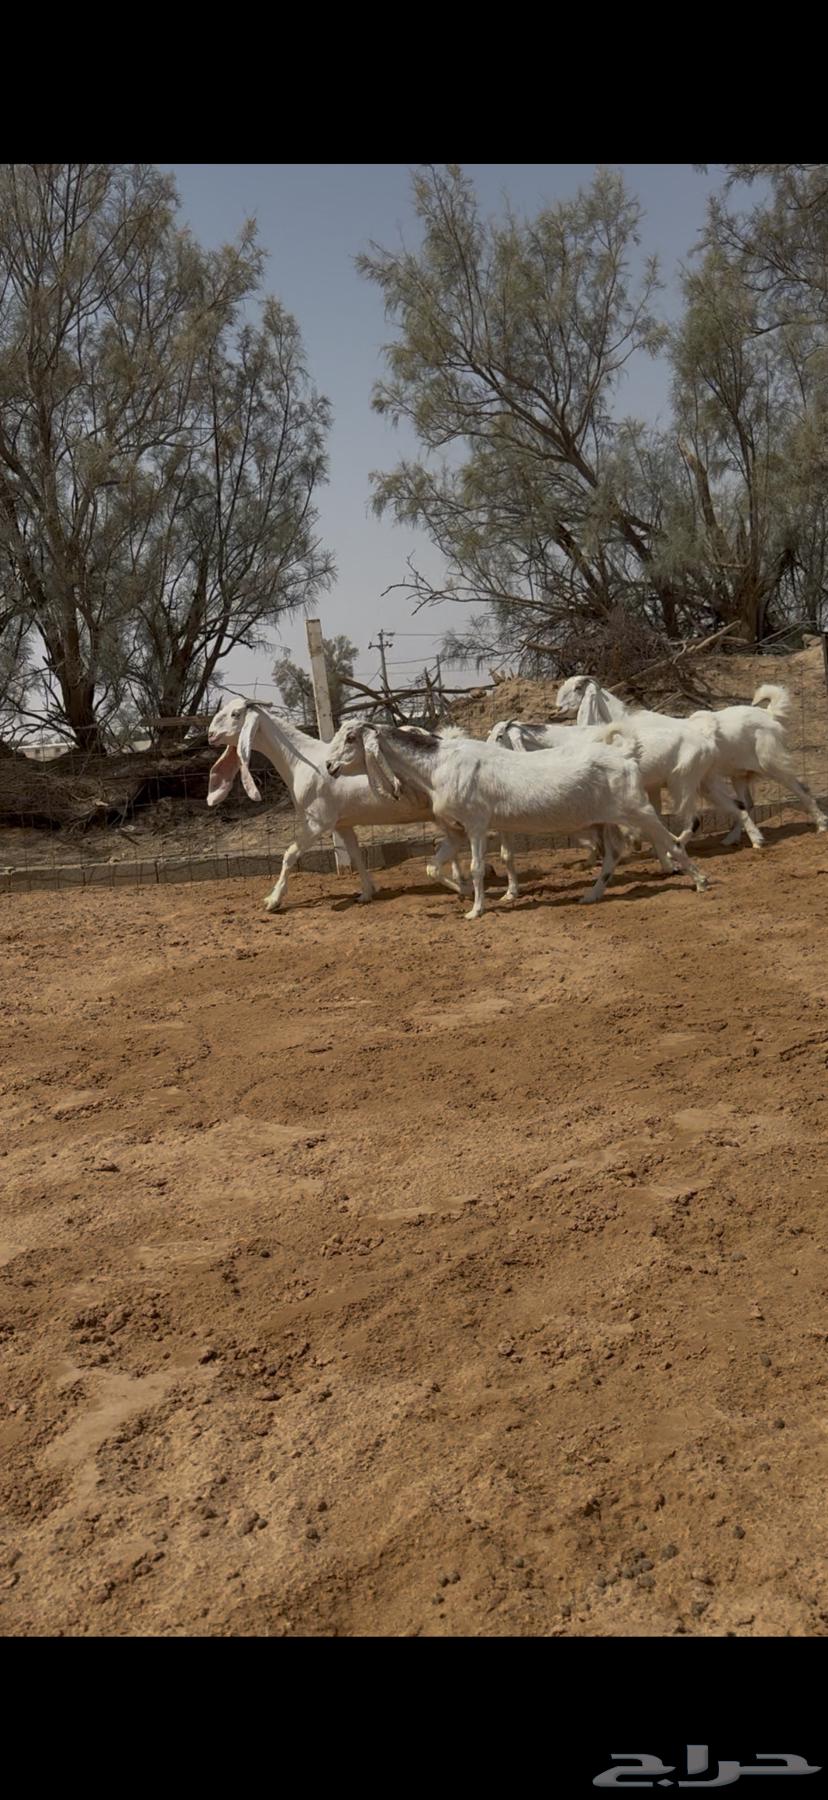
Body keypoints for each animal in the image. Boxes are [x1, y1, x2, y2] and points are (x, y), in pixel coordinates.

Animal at [205, 697, 470, 910]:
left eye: (235, 714)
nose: (210, 735)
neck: (301, 761)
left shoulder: (317, 823)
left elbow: (290, 855)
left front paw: (273, 900)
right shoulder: (342, 824)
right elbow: (355, 854)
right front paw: (367, 892)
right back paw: (461, 878)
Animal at [325, 721, 707, 920]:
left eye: (350, 737)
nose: (329, 767)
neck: (438, 765)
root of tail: (624, 755)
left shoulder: (477, 825)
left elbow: (477, 868)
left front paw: (476, 910)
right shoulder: (456, 831)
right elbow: (433, 867)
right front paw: (466, 894)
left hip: (637, 809)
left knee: (671, 841)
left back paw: (701, 881)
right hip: (604, 820)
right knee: (614, 854)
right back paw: (592, 895)